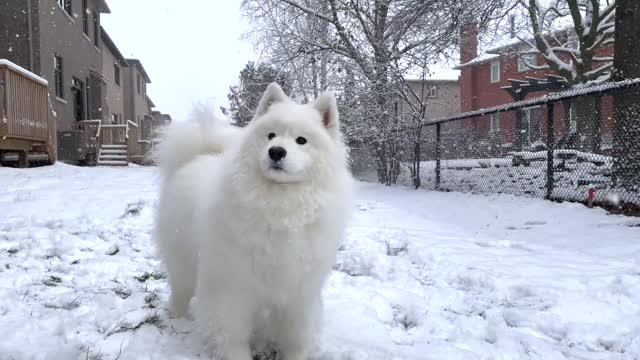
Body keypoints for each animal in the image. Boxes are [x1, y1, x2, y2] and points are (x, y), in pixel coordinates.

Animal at [155, 83, 356, 358]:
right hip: (182, 259)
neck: (280, 205)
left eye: (301, 140)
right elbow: (232, 336)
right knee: (181, 290)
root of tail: (199, 155)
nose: (276, 151)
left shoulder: (299, 291)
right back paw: (178, 318)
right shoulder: (233, 287)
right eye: (271, 136)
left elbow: (296, 336)